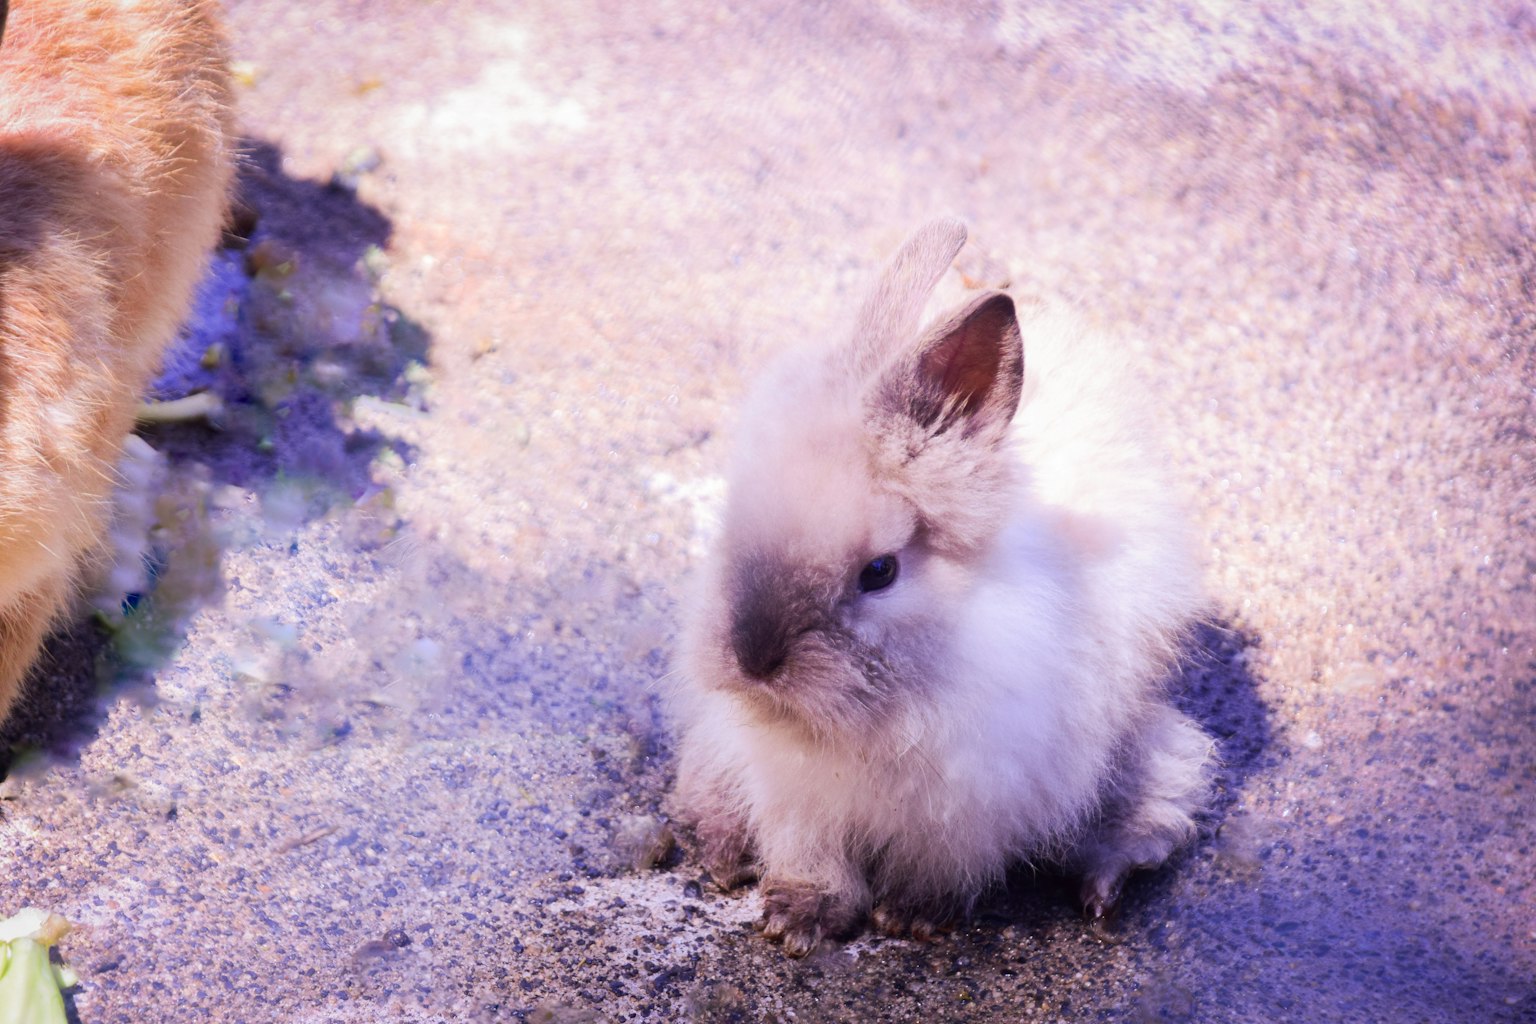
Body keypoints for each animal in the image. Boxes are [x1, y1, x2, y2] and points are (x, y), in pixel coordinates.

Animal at [668, 219, 1214, 956]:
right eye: (734, 522)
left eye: (879, 572)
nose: (754, 661)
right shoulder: (791, 793)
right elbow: (811, 857)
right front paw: (798, 919)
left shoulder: (972, 801)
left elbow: (942, 867)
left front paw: (912, 916)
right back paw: (725, 860)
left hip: (1145, 752)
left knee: (1156, 811)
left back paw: (1101, 891)